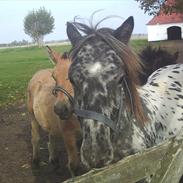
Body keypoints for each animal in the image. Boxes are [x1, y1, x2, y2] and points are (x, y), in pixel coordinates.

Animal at [26, 45, 81, 176]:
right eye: (54, 77)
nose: (60, 109)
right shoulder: (68, 135)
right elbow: (74, 165)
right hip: (32, 117)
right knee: (35, 138)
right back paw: (36, 161)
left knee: (51, 136)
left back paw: (54, 160)